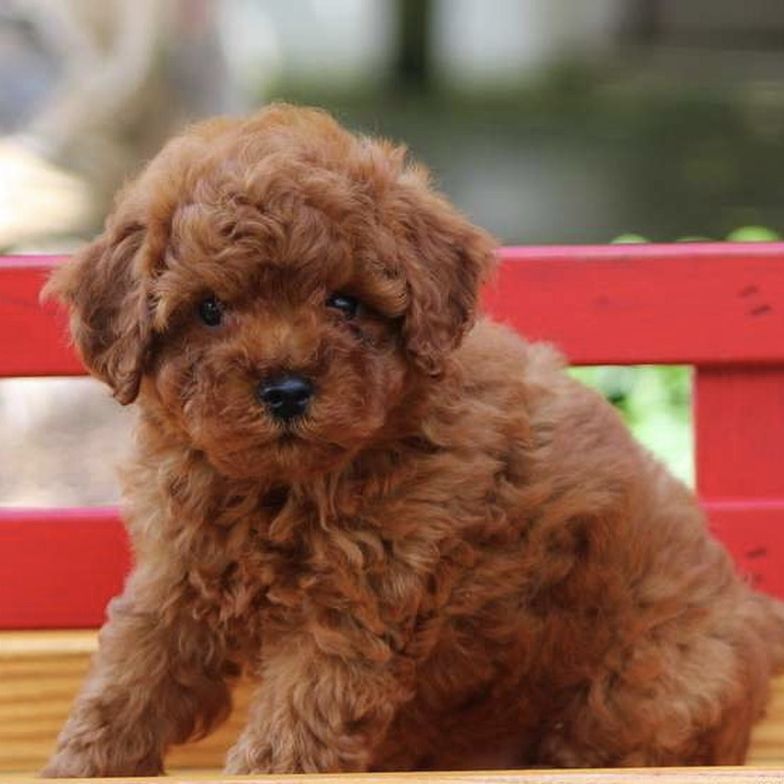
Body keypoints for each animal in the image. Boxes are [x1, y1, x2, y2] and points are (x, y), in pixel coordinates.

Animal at [44, 105, 784, 776]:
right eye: (208, 310)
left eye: (344, 302)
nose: (286, 389)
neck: (284, 487)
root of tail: (756, 614)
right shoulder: (178, 575)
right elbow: (130, 680)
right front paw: (80, 764)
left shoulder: (356, 607)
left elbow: (294, 729)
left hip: (643, 693)